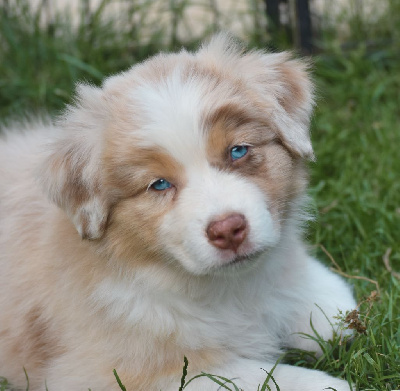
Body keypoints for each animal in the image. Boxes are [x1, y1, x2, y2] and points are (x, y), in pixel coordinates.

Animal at [0, 35, 356, 390]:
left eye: (238, 151)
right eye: (159, 184)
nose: (228, 230)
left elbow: (332, 311)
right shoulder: (111, 370)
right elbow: (254, 375)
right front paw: (327, 383)